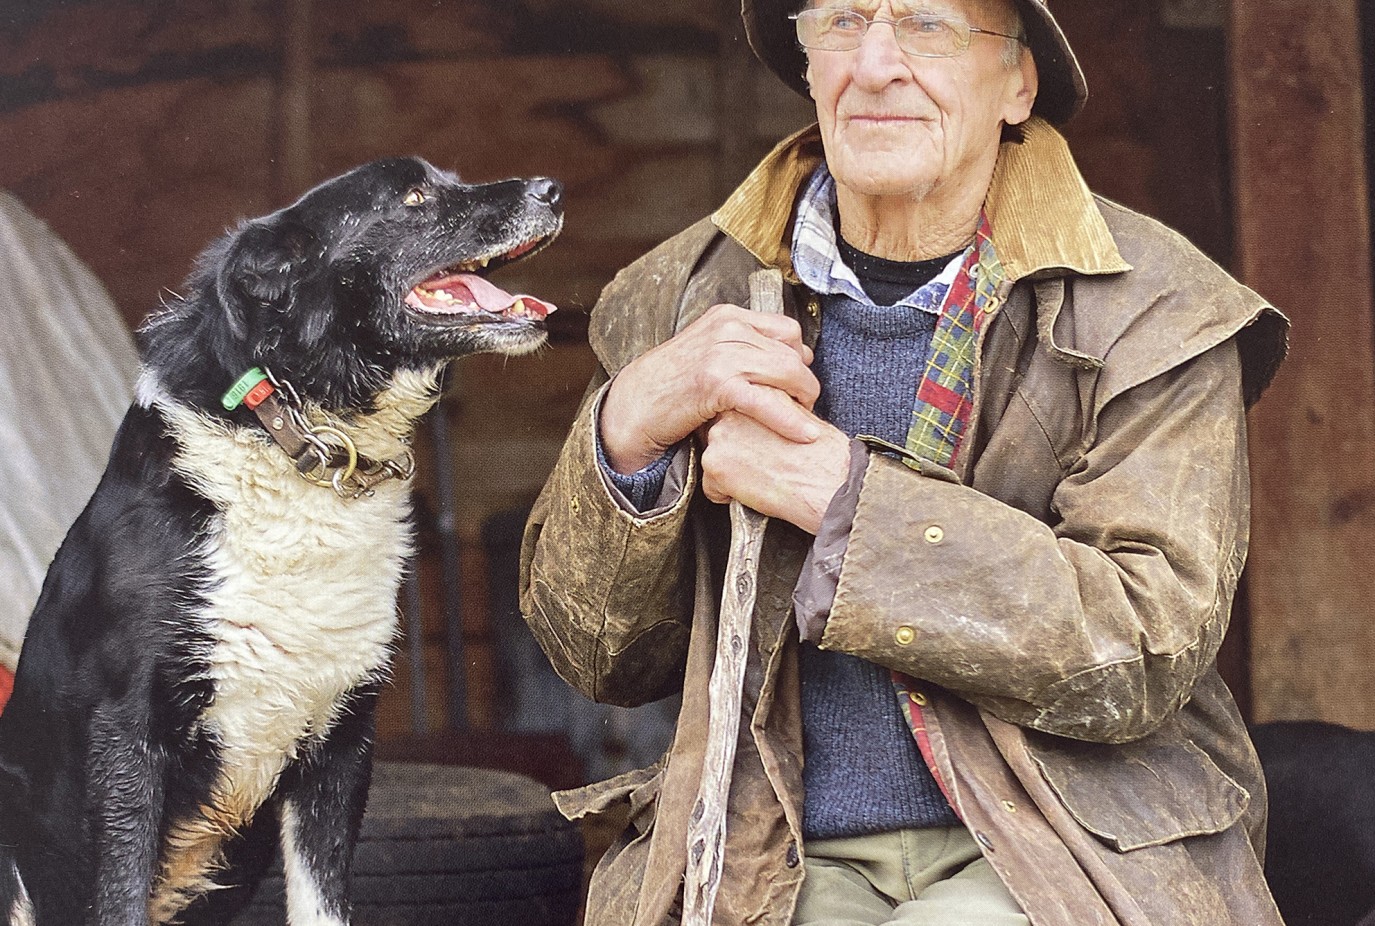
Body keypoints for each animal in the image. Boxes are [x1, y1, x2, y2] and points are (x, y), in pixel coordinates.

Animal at [0, 158, 563, 924]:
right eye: (414, 197)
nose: (551, 189)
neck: (304, 440)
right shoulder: (126, 738)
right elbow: (119, 898)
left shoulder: (341, 742)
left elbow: (322, 904)